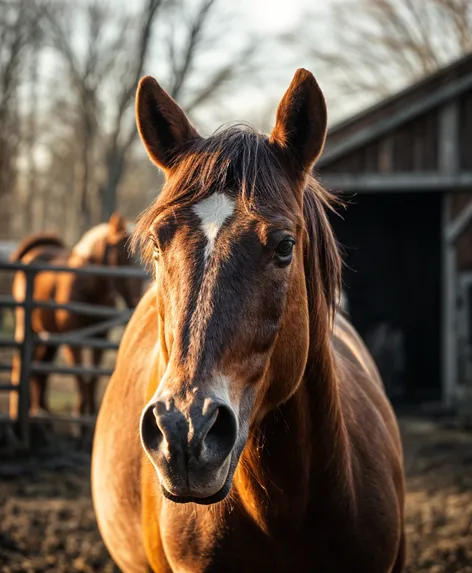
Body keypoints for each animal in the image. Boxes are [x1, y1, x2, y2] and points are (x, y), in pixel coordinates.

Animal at [8, 212, 142, 418]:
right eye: (121, 254)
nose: (135, 301)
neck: (91, 289)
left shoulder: (99, 338)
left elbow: (93, 376)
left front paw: (90, 413)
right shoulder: (73, 341)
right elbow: (79, 374)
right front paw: (80, 413)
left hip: (50, 337)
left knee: (40, 369)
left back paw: (42, 412)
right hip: (28, 327)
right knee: (21, 363)